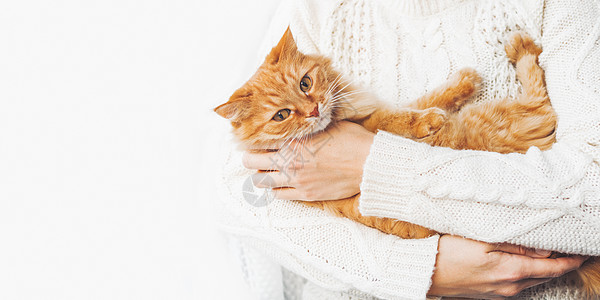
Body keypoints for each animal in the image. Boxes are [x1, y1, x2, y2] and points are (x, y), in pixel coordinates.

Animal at [213, 29, 596, 296]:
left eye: (305, 83)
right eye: (281, 115)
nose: (313, 110)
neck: (338, 116)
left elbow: (430, 97)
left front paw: (460, 84)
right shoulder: (378, 122)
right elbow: (406, 116)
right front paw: (435, 112)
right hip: (491, 120)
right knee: (541, 101)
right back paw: (520, 48)